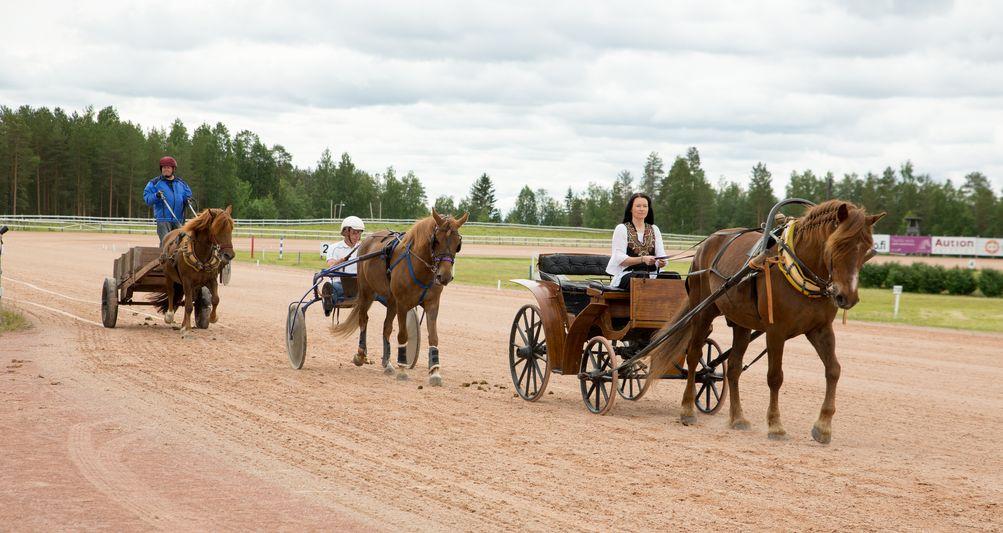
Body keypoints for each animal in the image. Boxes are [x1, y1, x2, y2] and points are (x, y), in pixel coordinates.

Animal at [151, 205, 235, 337]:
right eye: (217, 228)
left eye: (231, 228)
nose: (229, 255)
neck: (201, 256)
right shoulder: (187, 281)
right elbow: (189, 306)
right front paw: (187, 328)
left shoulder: (211, 280)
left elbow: (215, 299)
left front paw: (213, 318)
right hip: (169, 276)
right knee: (171, 293)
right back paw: (170, 316)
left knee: (188, 300)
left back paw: (183, 324)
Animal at [332, 209, 465, 387]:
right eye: (436, 240)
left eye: (458, 243)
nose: (444, 276)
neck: (420, 268)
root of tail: (368, 239)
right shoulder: (402, 303)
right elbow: (403, 335)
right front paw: (402, 369)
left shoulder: (432, 304)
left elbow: (433, 337)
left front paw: (435, 372)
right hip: (367, 292)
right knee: (363, 319)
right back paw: (361, 355)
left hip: (391, 301)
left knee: (386, 327)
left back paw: (387, 363)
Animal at [645, 198, 882, 441]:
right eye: (838, 245)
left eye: (867, 250)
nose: (847, 297)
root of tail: (707, 243)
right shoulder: (776, 331)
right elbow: (775, 377)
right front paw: (776, 425)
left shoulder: (821, 329)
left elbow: (833, 370)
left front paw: (823, 427)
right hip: (703, 311)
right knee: (694, 356)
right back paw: (687, 409)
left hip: (740, 322)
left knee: (733, 367)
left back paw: (738, 418)